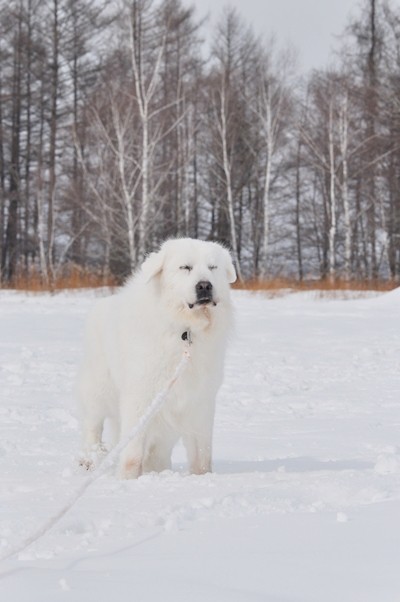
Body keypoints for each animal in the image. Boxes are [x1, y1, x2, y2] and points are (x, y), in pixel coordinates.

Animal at [76, 237, 236, 476]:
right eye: (185, 267)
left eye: (212, 267)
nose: (205, 285)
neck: (185, 330)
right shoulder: (140, 397)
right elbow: (132, 454)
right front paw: (127, 479)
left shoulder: (200, 401)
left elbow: (202, 454)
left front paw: (202, 478)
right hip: (98, 390)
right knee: (92, 425)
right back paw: (90, 458)